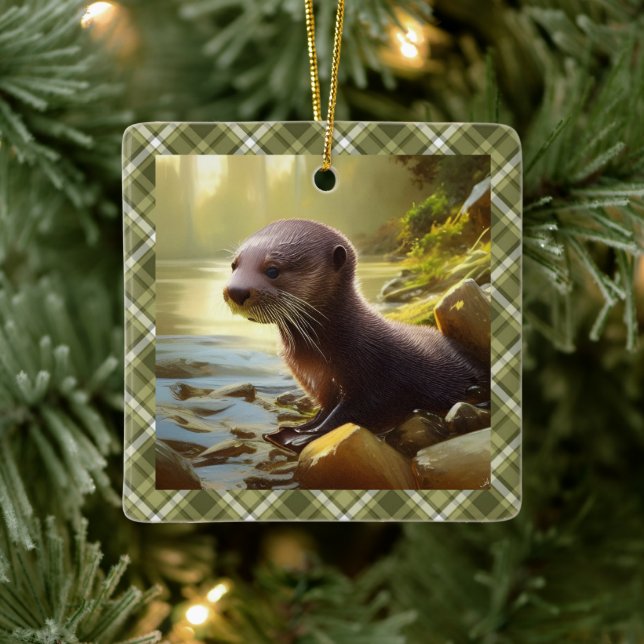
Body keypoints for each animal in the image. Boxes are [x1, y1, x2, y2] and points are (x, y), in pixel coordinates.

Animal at [223, 219, 489, 453]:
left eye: (272, 270)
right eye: (234, 265)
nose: (235, 290)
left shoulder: (376, 377)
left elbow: (353, 413)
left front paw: (300, 438)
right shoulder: (321, 385)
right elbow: (323, 412)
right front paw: (300, 428)